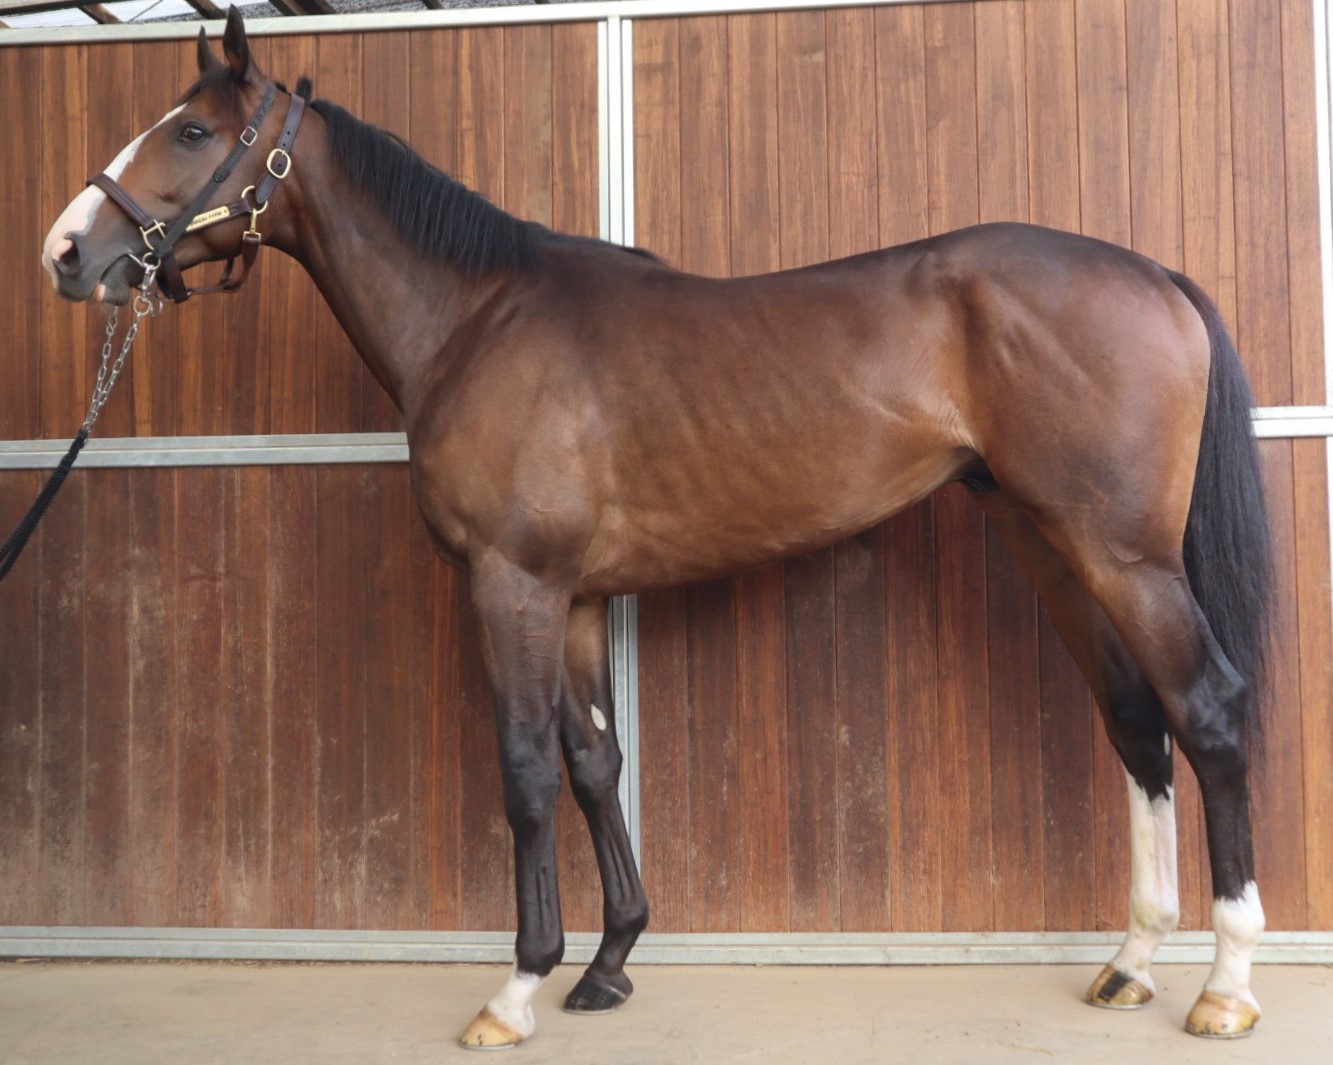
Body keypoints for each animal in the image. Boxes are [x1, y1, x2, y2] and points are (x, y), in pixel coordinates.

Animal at [41, 9, 1273, 1049]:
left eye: (191, 129)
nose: (66, 251)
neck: (479, 319)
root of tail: (1150, 274)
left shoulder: (514, 584)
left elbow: (525, 770)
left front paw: (516, 988)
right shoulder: (577, 595)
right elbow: (594, 762)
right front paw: (608, 963)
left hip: (1123, 557)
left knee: (1207, 714)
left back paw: (1224, 987)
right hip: (1052, 548)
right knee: (1136, 724)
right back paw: (1130, 962)